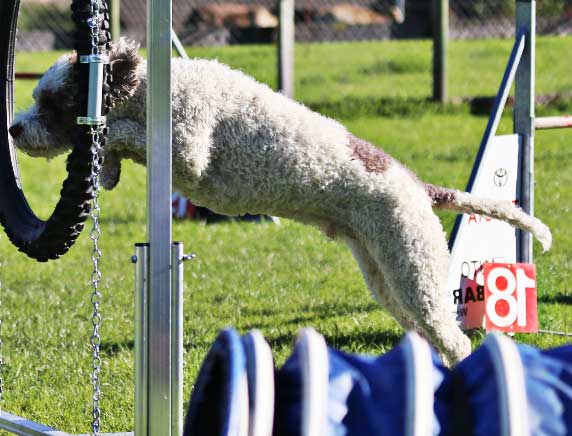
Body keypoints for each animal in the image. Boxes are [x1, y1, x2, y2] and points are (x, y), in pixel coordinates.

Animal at [11, 39, 552, 362]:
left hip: (413, 266)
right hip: (386, 274)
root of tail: (419, 187)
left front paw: (102, 144)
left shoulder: (187, 145)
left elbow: (121, 130)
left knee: (455, 337)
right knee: (425, 329)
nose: (14, 129)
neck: (149, 90)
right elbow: (120, 145)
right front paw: (108, 170)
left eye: (53, 102)